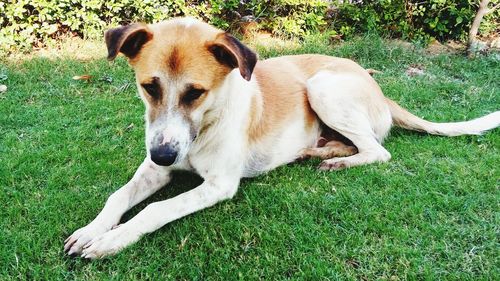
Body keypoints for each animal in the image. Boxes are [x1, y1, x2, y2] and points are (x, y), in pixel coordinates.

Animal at [64, 17, 498, 258]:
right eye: (149, 87)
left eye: (195, 93)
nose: (163, 155)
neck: (208, 121)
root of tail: (376, 85)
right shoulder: (156, 168)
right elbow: (118, 197)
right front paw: (91, 231)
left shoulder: (220, 185)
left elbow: (155, 209)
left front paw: (112, 240)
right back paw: (320, 151)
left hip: (323, 87)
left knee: (378, 150)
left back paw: (339, 160)